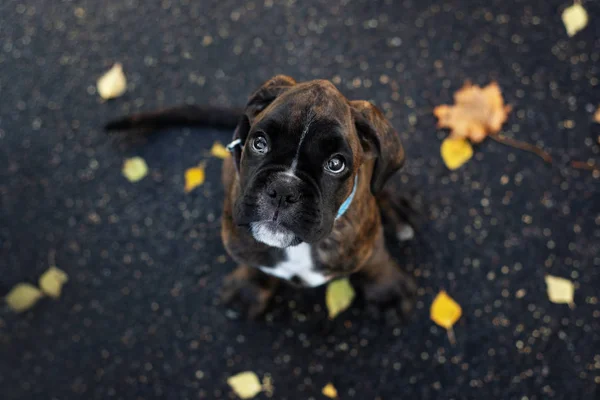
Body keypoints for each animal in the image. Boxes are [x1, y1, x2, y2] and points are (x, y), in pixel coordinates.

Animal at [105, 74, 418, 318]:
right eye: (259, 143)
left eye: (336, 163)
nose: (284, 189)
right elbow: (253, 264)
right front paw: (248, 290)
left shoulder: (365, 236)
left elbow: (376, 258)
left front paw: (387, 291)